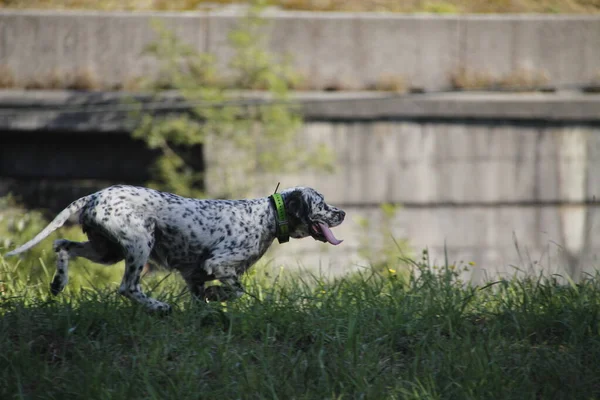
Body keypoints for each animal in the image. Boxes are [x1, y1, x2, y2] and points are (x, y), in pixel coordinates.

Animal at [4, 184, 344, 312]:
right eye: (322, 204)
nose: (342, 212)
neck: (269, 216)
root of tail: (94, 196)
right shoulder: (219, 264)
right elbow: (235, 290)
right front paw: (217, 295)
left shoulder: (194, 275)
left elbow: (205, 297)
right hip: (139, 244)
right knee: (128, 287)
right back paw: (159, 308)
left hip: (107, 251)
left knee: (62, 244)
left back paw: (58, 283)